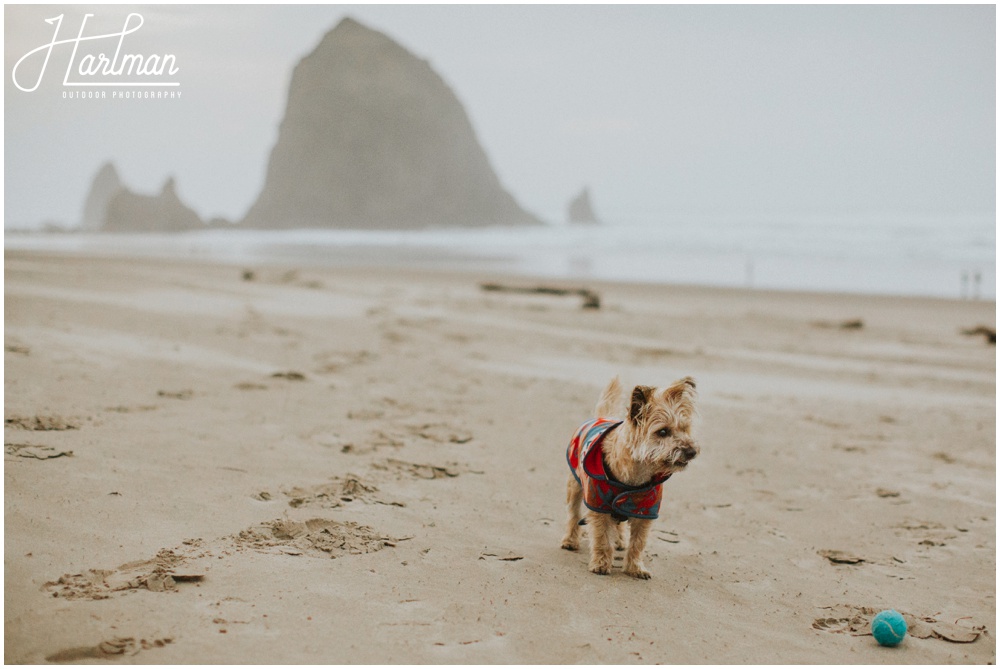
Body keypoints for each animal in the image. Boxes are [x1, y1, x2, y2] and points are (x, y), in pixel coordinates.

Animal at [560, 374, 700, 576]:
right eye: (663, 431)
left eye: (685, 429)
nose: (691, 451)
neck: (636, 474)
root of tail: (600, 416)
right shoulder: (598, 505)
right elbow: (602, 538)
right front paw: (601, 563)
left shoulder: (645, 511)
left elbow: (638, 543)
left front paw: (635, 567)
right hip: (575, 487)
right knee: (573, 513)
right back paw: (570, 540)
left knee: (618, 523)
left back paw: (619, 541)